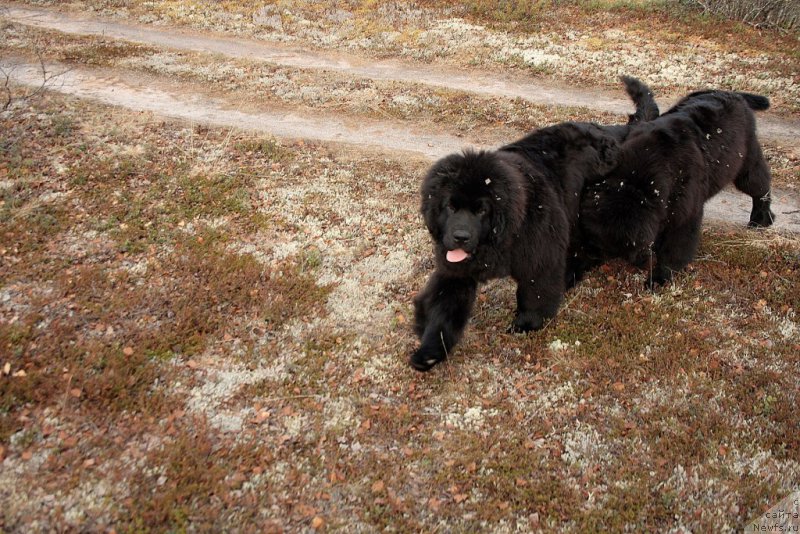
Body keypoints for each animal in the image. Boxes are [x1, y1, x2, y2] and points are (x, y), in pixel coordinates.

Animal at [410, 78, 660, 372]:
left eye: (482, 210)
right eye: (450, 206)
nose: (460, 236)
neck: (502, 237)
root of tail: (613, 132)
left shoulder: (539, 255)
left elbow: (535, 292)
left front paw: (526, 325)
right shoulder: (455, 270)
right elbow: (444, 308)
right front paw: (429, 350)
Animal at [568, 89, 776, 288]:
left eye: (600, 249)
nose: (582, 260)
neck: (634, 181)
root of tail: (733, 94)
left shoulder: (685, 215)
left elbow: (675, 248)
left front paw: (659, 278)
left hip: (746, 163)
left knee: (760, 187)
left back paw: (761, 219)